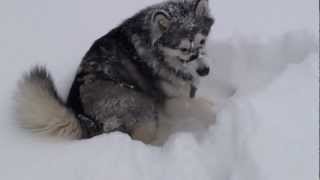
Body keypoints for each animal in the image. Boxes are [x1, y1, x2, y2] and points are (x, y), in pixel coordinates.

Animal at [15, 0, 215, 143]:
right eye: (184, 49)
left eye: (202, 41)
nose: (205, 71)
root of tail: (82, 117)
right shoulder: (168, 101)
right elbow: (195, 105)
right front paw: (214, 112)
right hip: (138, 103)